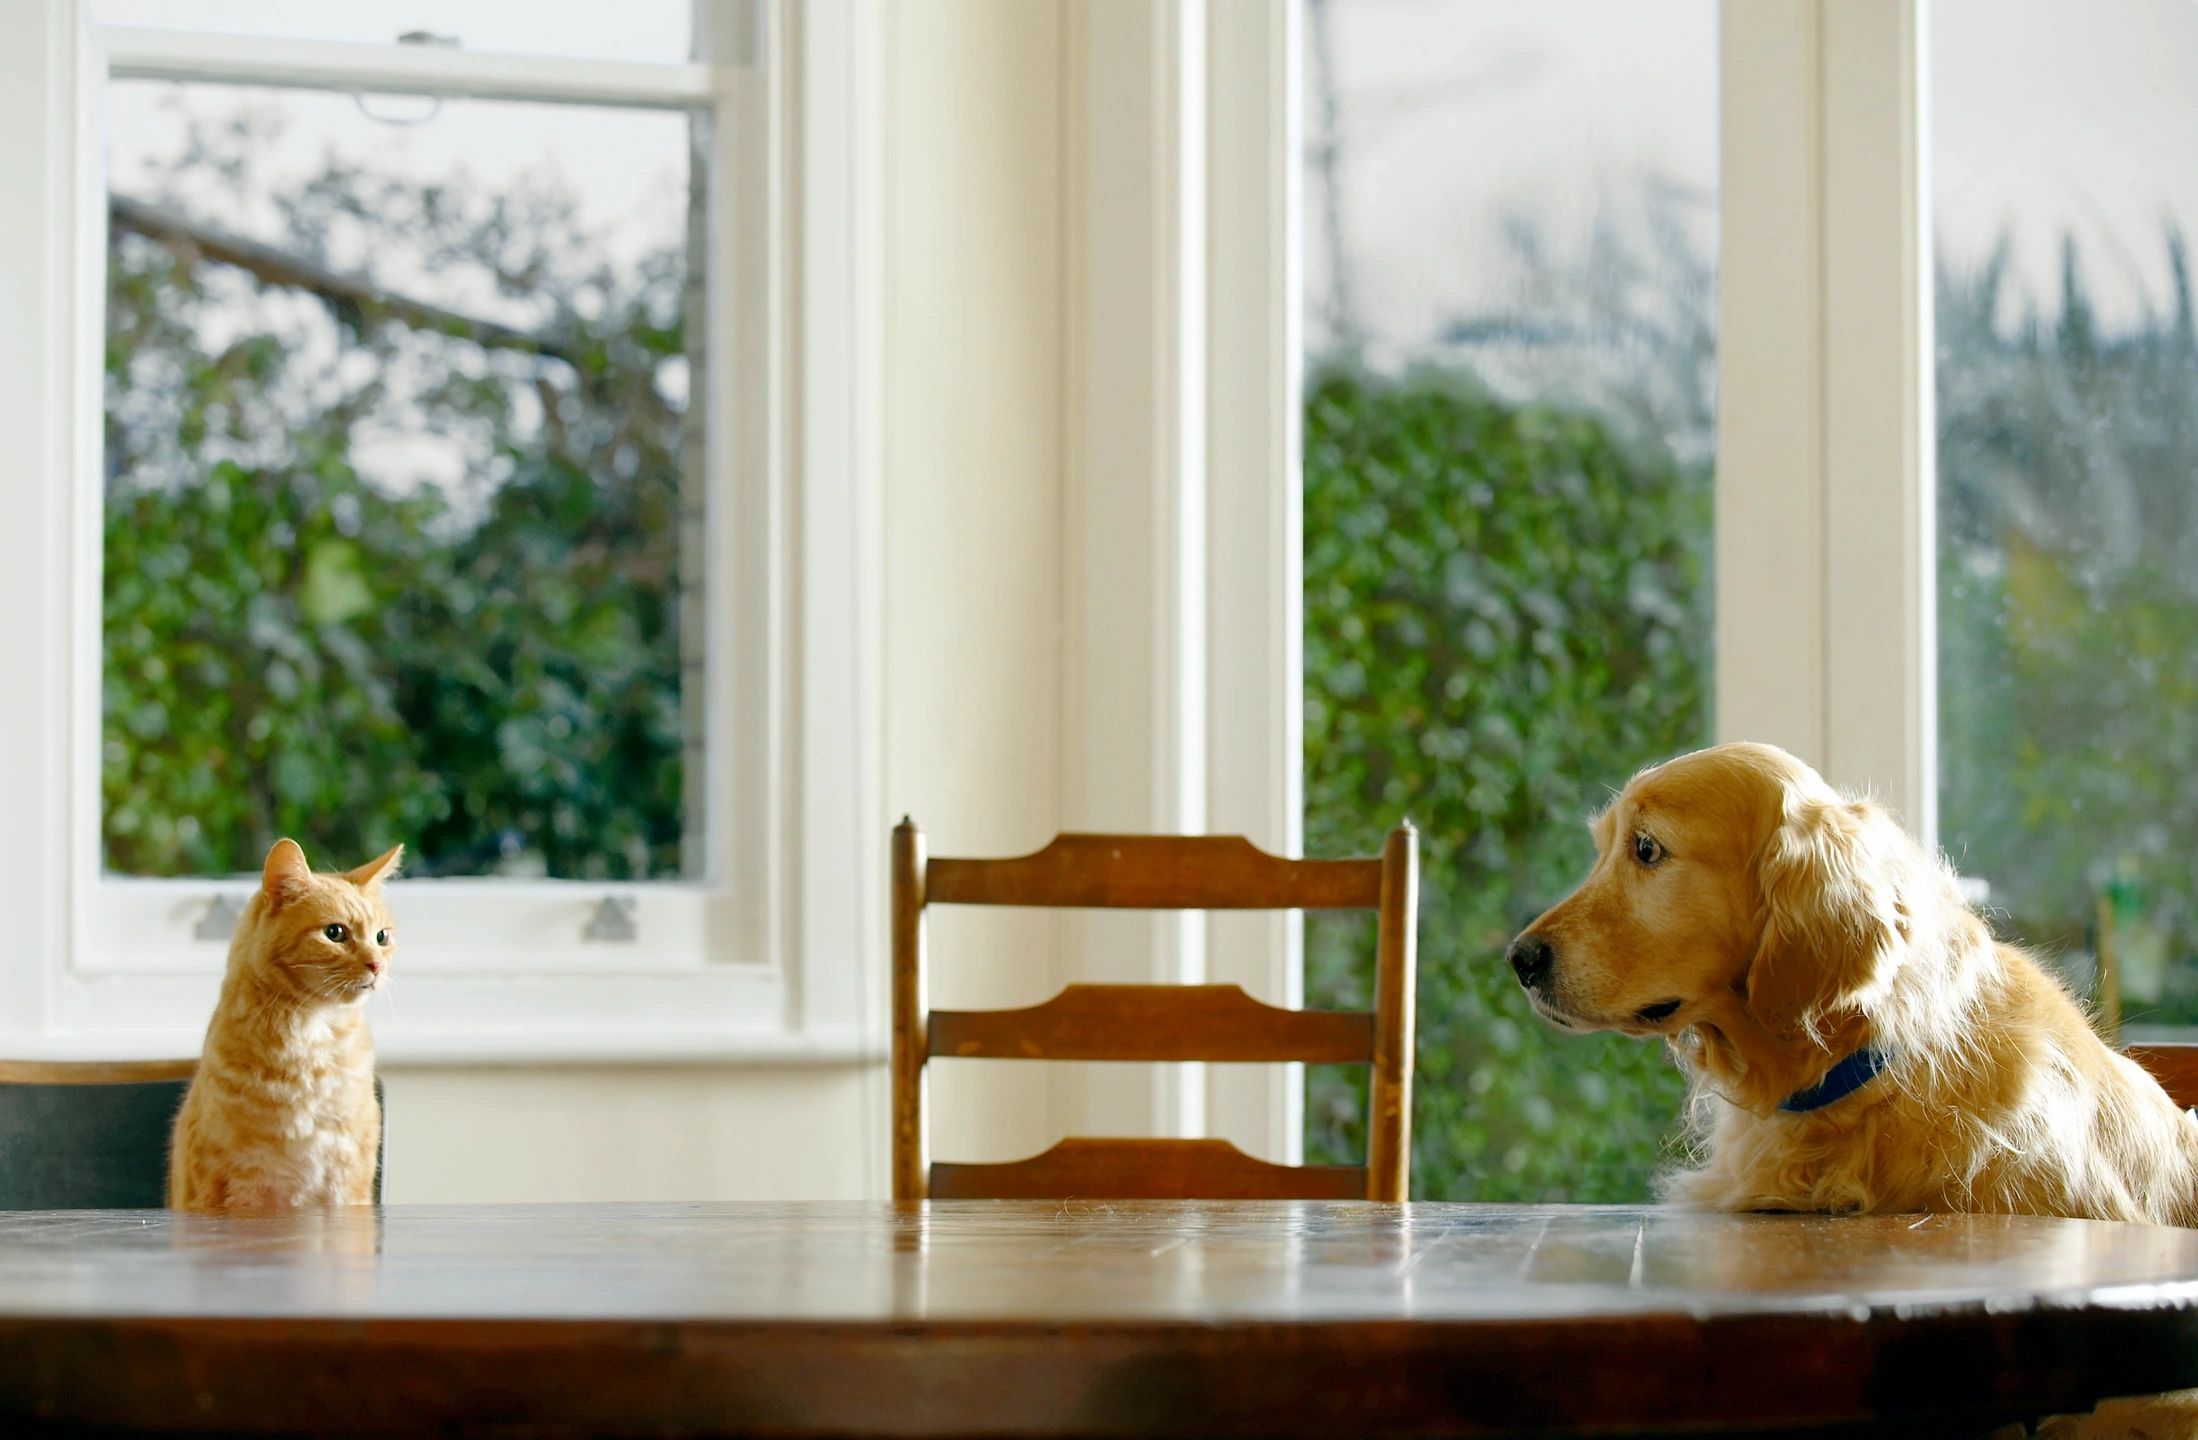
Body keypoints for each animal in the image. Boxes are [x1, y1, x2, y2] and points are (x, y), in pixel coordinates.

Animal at [167, 839, 404, 1213]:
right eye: (335, 933)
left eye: (382, 937)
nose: (376, 965)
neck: (311, 1038)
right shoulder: (221, 1186)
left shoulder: (348, 1180)